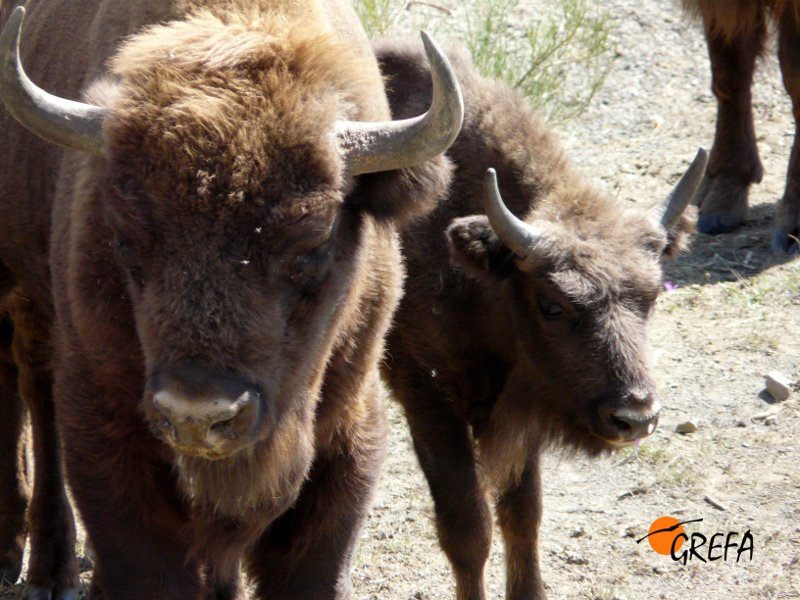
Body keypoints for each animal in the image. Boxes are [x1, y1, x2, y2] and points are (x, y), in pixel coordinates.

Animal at [0, 1, 462, 596]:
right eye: (124, 238)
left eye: (313, 240)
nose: (197, 416)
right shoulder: (106, 418)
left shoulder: (349, 417)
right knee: (34, 390)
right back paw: (42, 567)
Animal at [376, 38, 708, 600]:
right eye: (552, 305)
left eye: (651, 298)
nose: (635, 417)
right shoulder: (428, 399)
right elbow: (468, 530)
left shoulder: (526, 403)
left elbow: (522, 516)